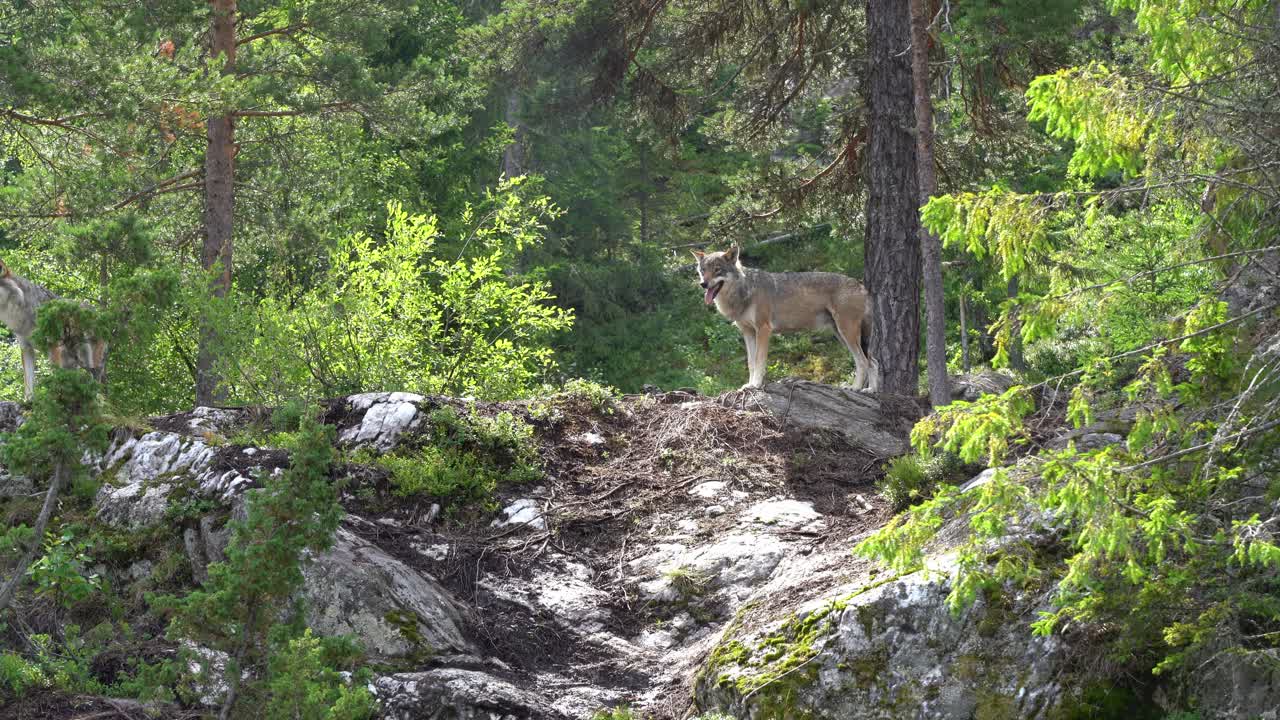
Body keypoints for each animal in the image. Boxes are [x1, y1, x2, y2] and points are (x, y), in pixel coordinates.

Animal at [0, 259, 107, 400]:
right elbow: (28, 383)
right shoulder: (27, 348)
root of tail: (100, 313)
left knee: (95, 381)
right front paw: (29, 401)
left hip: (90, 359)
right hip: (72, 360)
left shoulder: (53, 346)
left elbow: (55, 377)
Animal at [694, 244, 878, 391]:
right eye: (703, 271)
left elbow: (759, 361)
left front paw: (756, 385)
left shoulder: (763, 330)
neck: (744, 291)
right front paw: (749, 385)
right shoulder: (748, 333)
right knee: (872, 361)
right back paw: (870, 390)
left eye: (717, 269)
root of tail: (861, 285)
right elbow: (751, 363)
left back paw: (856, 388)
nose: (703, 284)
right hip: (842, 335)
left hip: (847, 333)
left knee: (863, 361)